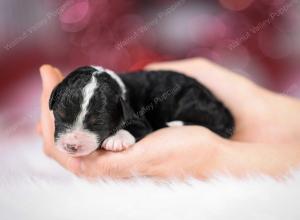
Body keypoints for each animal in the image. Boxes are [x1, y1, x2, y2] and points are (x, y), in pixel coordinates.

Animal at [48, 65, 234, 156]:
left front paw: (116, 140)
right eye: (60, 115)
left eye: (98, 123)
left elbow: (135, 128)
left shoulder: (141, 120)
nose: (71, 146)